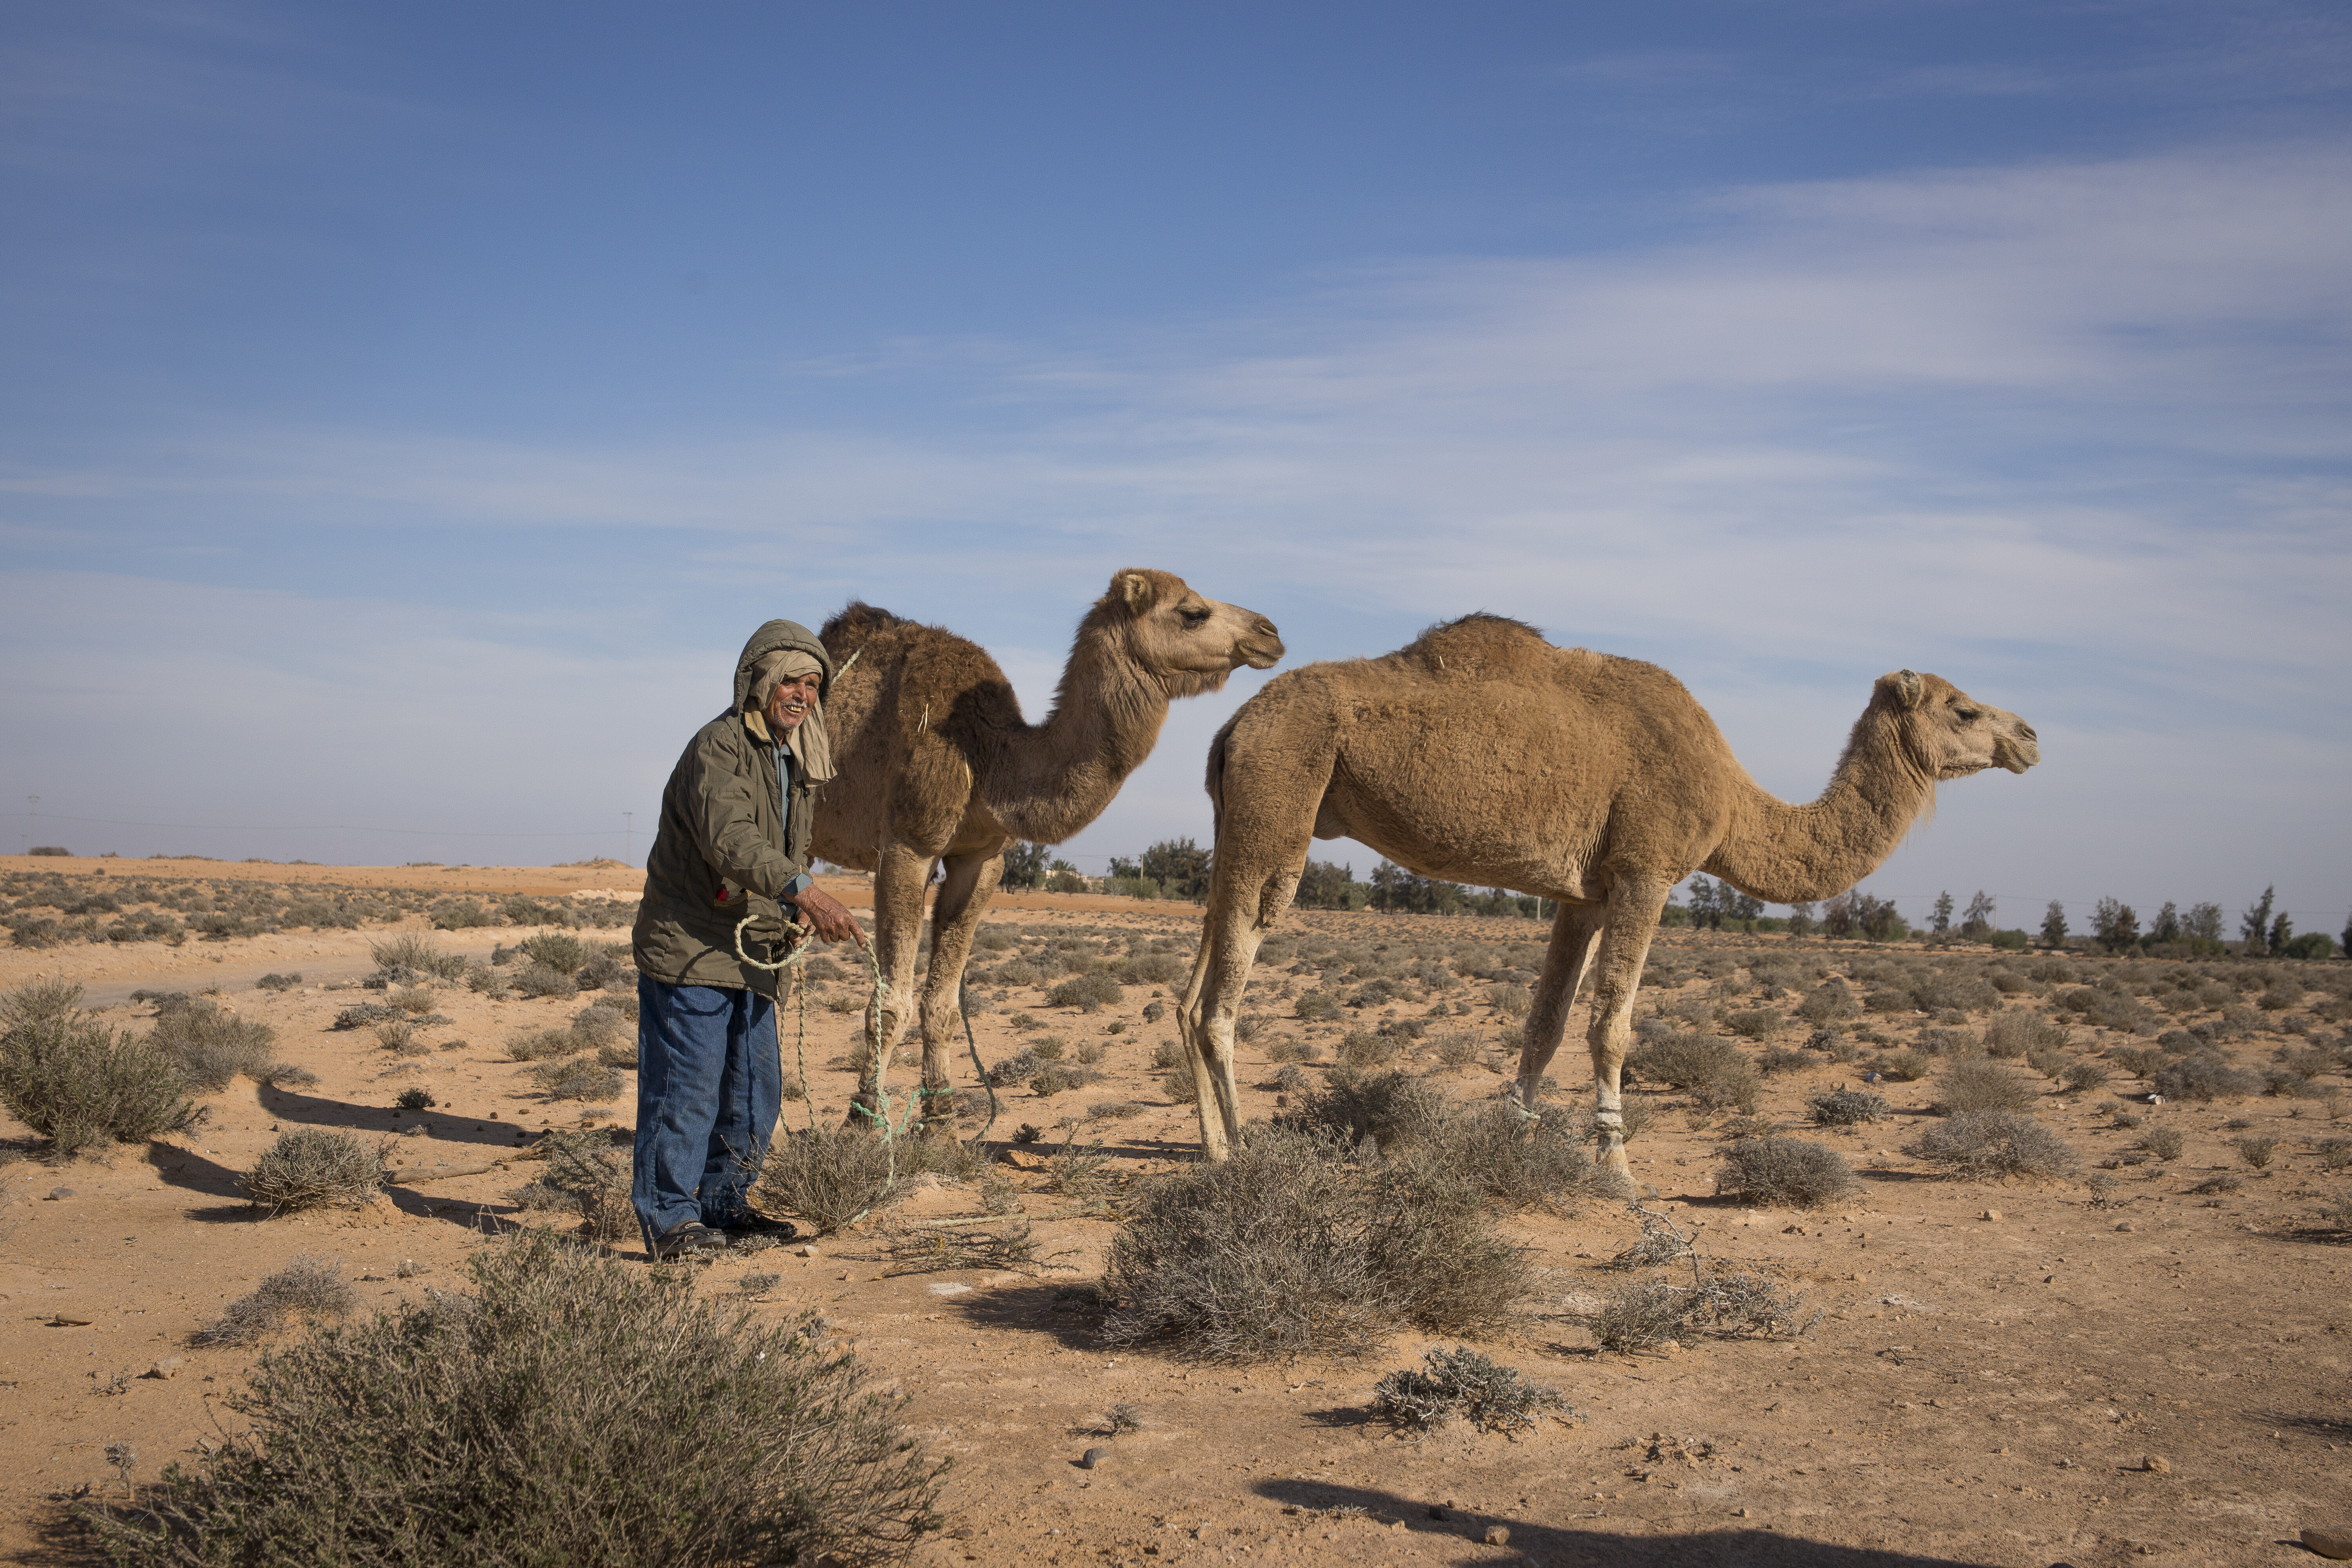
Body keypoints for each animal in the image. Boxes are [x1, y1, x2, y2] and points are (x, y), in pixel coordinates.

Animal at [813, 569, 1285, 1132]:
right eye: (1192, 612)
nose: (1270, 632)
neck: (986, 756)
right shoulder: (909, 845)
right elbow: (890, 1004)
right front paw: (861, 1123)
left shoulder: (982, 859)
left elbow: (942, 1004)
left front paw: (943, 1123)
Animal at [1175, 614, 2039, 1183]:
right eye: (1964, 708)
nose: (2028, 736)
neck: (1735, 803)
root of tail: (1233, 725)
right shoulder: (1645, 870)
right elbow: (1612, 1025)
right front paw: (1617, 1166)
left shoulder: (1582, 892)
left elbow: (1545, 1024)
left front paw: (1512, 1141)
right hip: (1280, 799)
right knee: (1224, 996)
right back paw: (1245, 1154)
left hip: (1236, 817)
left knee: (1191, 993)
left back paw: (1211, 1147)